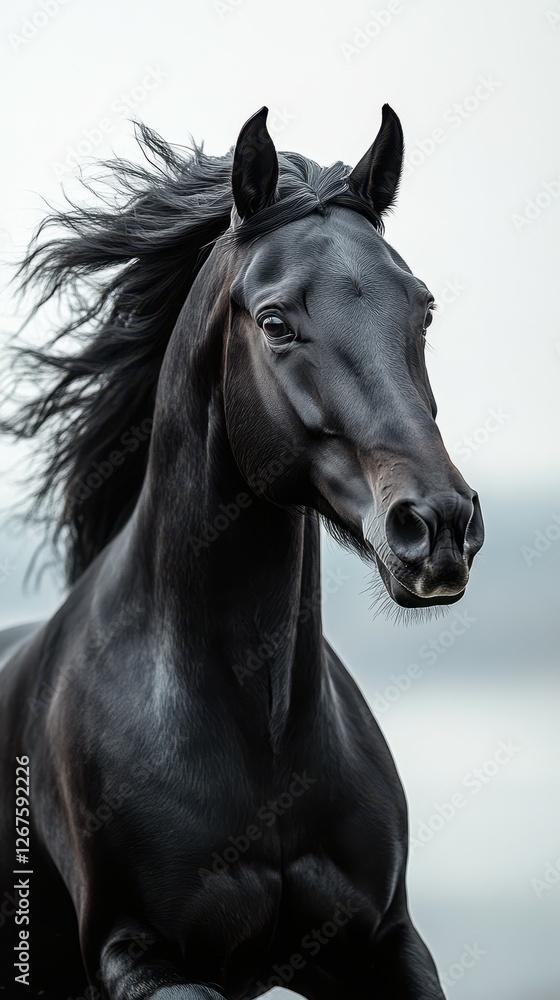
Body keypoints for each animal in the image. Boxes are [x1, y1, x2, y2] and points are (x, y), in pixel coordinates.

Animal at [0, 105, 484, 999]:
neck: (264, 740)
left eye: (423, 310)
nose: (436, 526)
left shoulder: (385, 941)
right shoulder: (134, 952)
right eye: (275, 323)